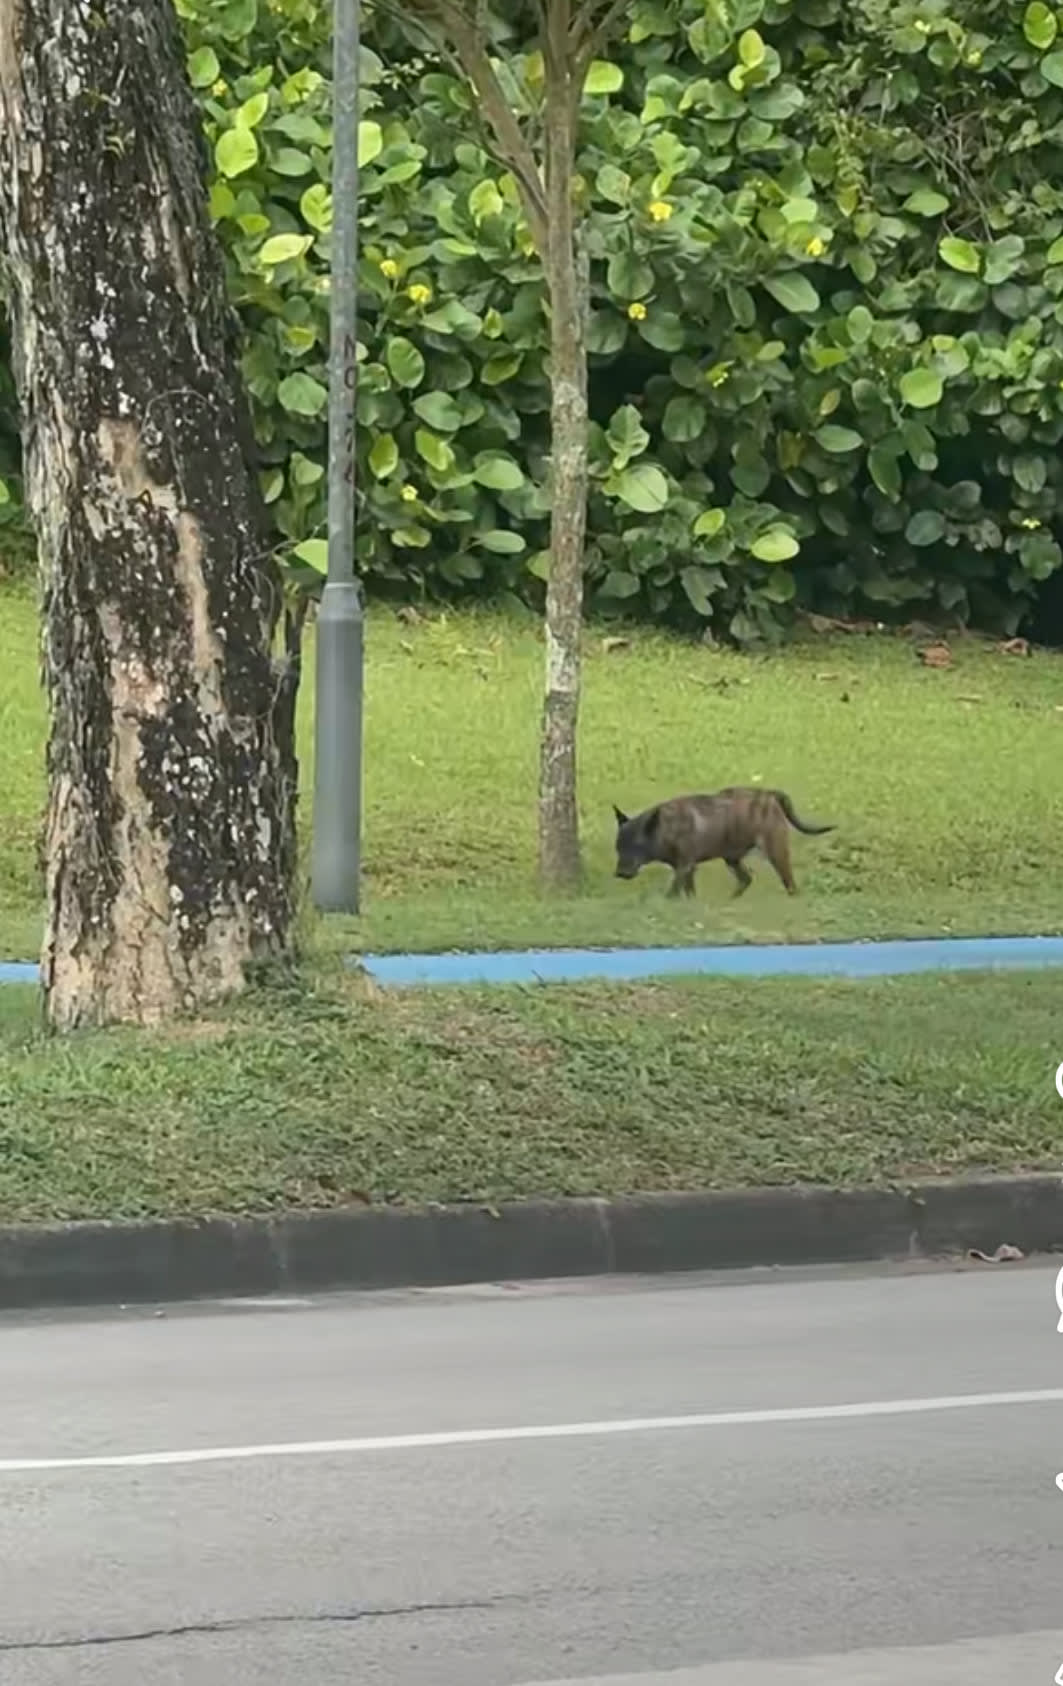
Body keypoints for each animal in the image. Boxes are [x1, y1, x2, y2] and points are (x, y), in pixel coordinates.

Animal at [612, 786, 835, 899]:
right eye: (618, 847)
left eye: (637, 846)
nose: (620, 874)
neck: (664, 828)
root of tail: (769, 794)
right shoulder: (687, 869)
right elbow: (689, 892)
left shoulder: (684, 867)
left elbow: (672, 892)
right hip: (732, 858)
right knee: (746, 879)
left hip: (775, 851)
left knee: (789, 883)